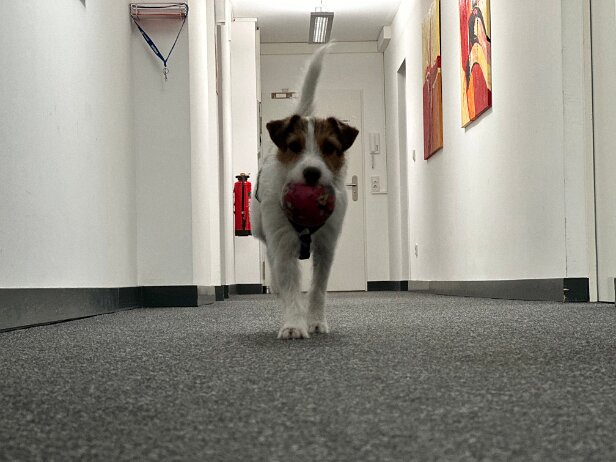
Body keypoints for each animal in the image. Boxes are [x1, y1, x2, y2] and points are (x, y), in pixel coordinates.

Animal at [250, 46, 359, 339]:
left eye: (329, 147)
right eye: (294, 146)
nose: (311, 173)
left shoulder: (326, 246)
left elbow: (318, 289)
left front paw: (316, 321)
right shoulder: (283, 242)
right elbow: (290, 285)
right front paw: (293, 324)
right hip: (262, 230)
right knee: (272, 262)